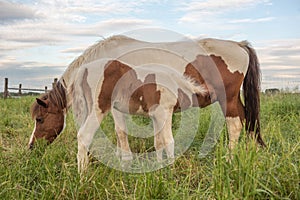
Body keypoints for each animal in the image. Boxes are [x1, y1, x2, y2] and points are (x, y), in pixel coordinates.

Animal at [28, 35, 264, 173]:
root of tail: (239, 46)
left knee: (235, 126)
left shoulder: (116, 107)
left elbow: (121, 132)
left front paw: (125, 160)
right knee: (248, 122)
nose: (31, 147)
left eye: (40, 119)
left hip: (228, 100)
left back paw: (230, 159)